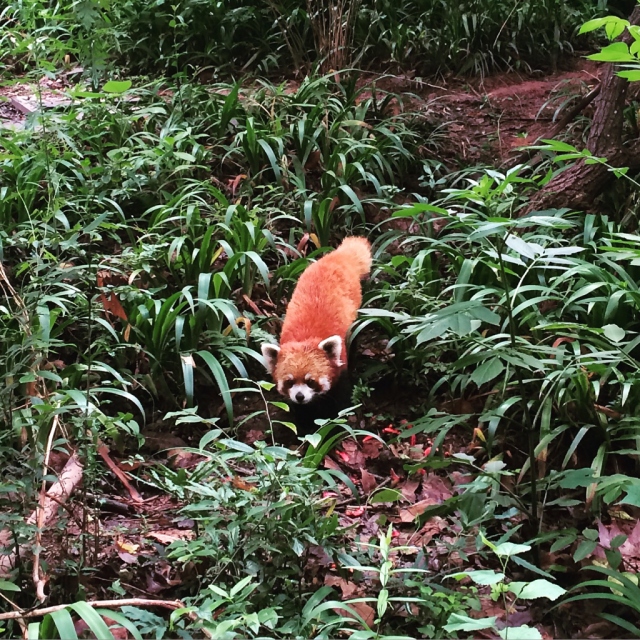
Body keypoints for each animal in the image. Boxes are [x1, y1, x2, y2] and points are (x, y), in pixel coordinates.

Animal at [260, 238, 370, 408]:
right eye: (289, 382)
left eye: (310, 381)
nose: (299, 396)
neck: (304, 338)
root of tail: (335, 257)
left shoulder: (340, 368)